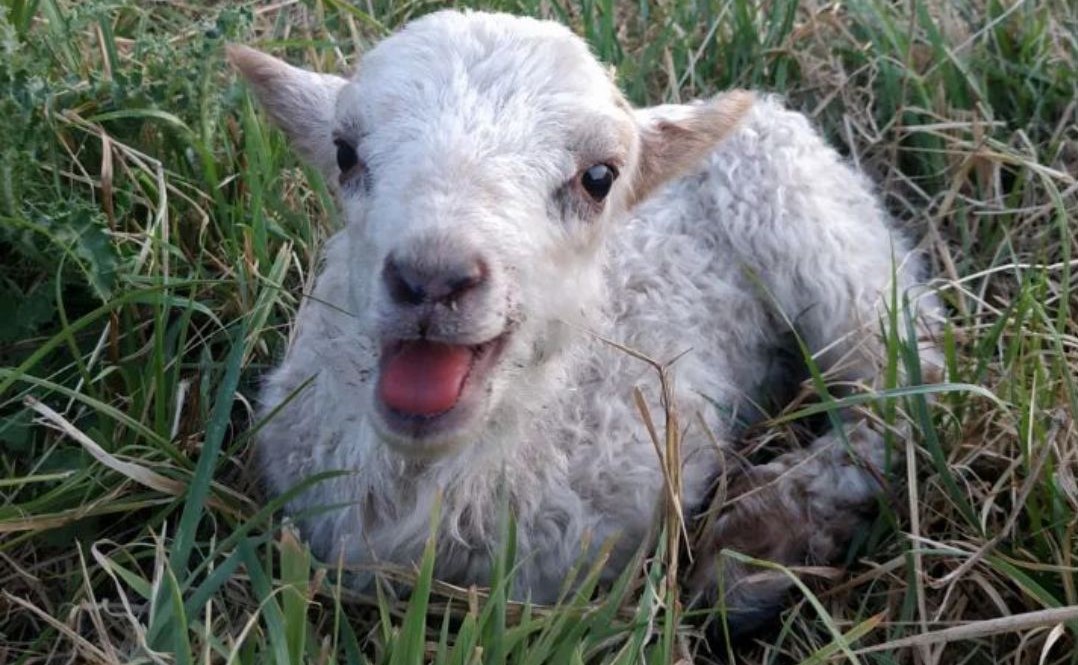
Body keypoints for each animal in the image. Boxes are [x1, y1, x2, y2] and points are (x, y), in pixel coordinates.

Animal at [229, 9, 944, 633]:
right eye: (345, 154)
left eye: (599, 178)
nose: (432, 278)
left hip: (828, 243)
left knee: (904, 387)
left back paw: (757, 547)